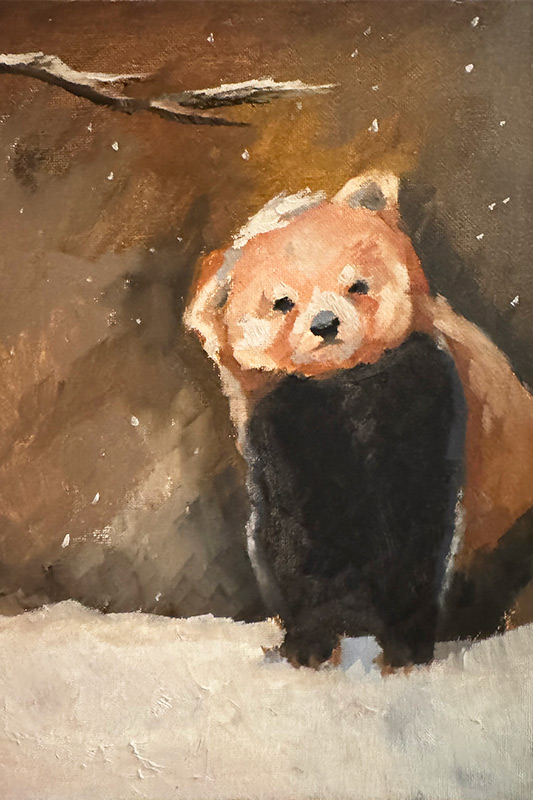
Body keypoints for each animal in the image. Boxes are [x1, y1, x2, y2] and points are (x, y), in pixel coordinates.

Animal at [185, 171, 533, 669]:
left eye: (357, 286)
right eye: (282, 303)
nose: (325, 324)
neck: (344, 387)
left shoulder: (429, 402)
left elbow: (418, 532)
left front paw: (406, 648)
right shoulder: (281, 437)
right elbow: (292, 543)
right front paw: (308, 645)